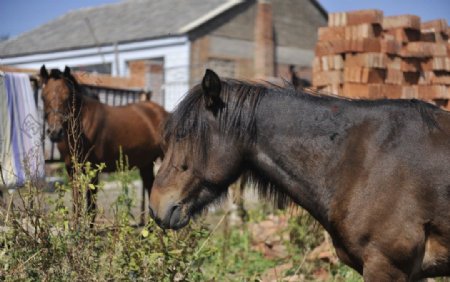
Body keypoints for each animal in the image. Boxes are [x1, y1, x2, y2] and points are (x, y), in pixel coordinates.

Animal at [39, 65, 167, 225]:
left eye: (68, 96)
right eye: (43, 97)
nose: (55, 132)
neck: (82, 126)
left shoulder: (93, 170)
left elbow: (91, 207)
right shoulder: (71, 169)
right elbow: (76, 203)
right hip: (146, 163)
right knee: (150, 187)